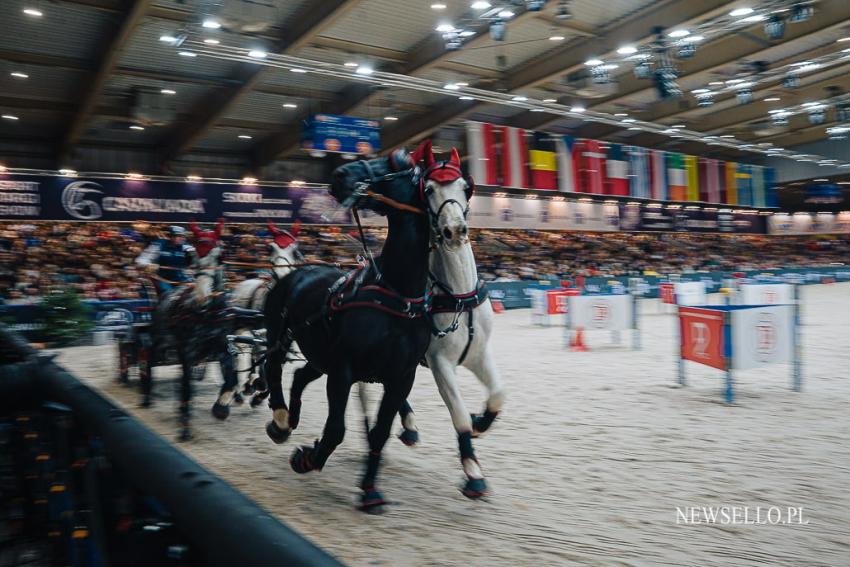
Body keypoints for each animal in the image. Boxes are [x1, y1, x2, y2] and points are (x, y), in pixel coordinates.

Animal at [260, 149, 430, 512]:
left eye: (396, 162)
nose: (339, 174)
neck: (395, 295)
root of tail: (296, 272)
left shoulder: (401, 376)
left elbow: (379, 432)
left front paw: (370, 489)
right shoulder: (344, 369)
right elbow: (336, 428)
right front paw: (308, 458)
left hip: (319, 352)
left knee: (299, 376)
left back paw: (290, 418)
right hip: (281, 333)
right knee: (273, 366)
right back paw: (280, 420)